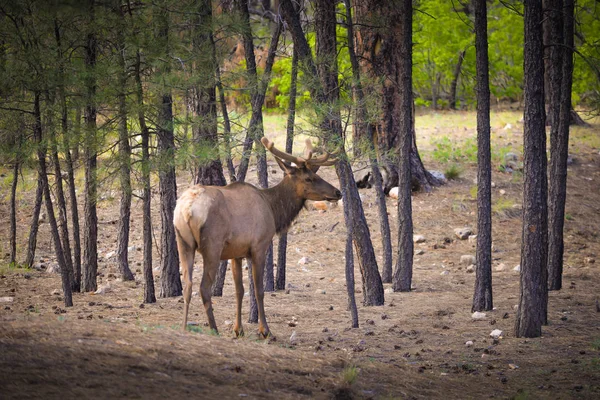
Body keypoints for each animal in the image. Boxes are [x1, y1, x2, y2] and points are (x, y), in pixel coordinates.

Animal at [175, 137, 342, 338]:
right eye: (309, 178)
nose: (337, 192)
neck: (274, 210)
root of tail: (187, 209)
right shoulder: (259, 246)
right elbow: (259, 290)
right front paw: (265, 330)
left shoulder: (236, 253)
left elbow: (239, 290)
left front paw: (238, 329)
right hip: (212, 246)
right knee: (204, 288)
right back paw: (214, 329)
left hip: (183, 242)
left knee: (187, 285)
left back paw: (184, 327)